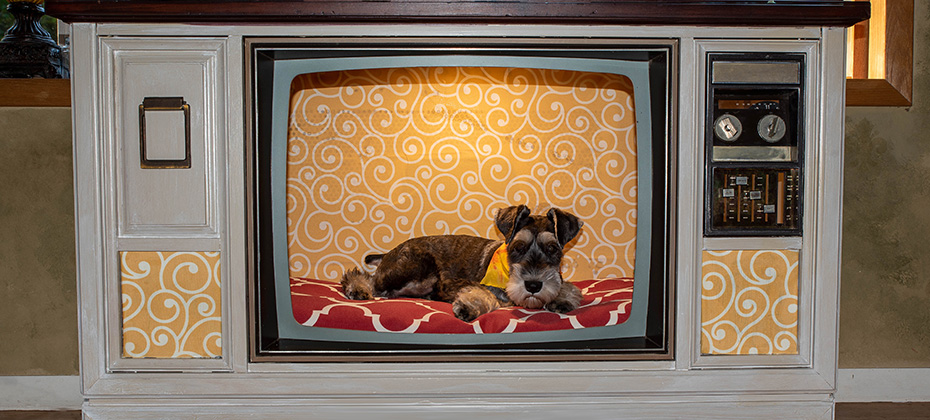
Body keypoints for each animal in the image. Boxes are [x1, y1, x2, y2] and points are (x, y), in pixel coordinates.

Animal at [338, 206, 584, 322]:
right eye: (517, 247)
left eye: (552, 249)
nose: (533, 285)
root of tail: (390, 252)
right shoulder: (460, 283)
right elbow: (485, 294)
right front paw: (468, 306)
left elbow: (569, 287)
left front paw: (562, 299)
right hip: (418, 267)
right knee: (369, 280)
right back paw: (357, 289)